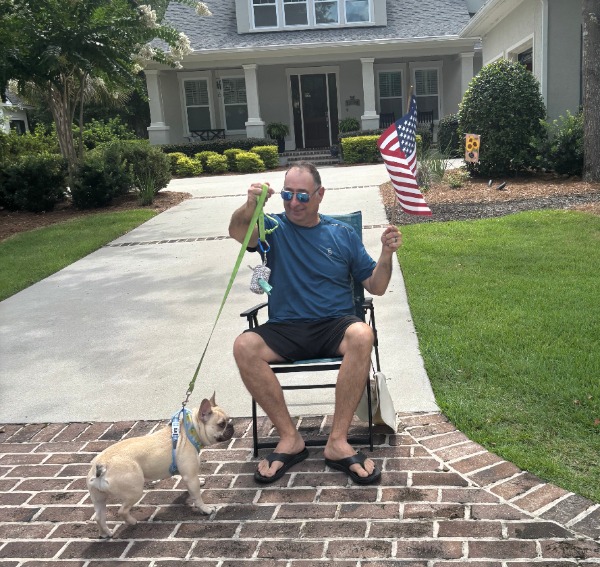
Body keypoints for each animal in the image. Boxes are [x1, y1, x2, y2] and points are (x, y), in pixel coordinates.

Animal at [86, 393, 234, 538]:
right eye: (221, 424)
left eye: (229, 419)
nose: (231, 425)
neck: (190, 431)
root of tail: (102, 464)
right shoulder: (190, 476)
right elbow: (197, 496)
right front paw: (205, 509)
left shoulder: (186, 474)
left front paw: (199, 482)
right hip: (135, 490)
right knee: (122, 511)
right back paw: (132, 522)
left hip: (98, 497)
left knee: (99, 516)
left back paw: (105, 533)